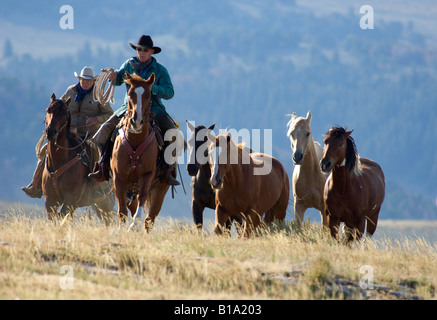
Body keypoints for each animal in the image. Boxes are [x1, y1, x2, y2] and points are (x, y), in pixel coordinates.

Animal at [41, 92, 114, 222]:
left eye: (65, 112)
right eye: (48, 110)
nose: (51, 132)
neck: (58, 162)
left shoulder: (71, 198)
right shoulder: (50, 201)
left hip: (106, 202)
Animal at [110, 72, 169, 230]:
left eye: (148, 95)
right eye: (130, 93)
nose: (136, 122)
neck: (135, 140)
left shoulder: (147, 175)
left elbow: (142, 197)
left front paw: (134, 224)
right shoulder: (118, 176)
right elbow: (121, 207)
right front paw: (120, 229)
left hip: (161, 188)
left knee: (150, 218)